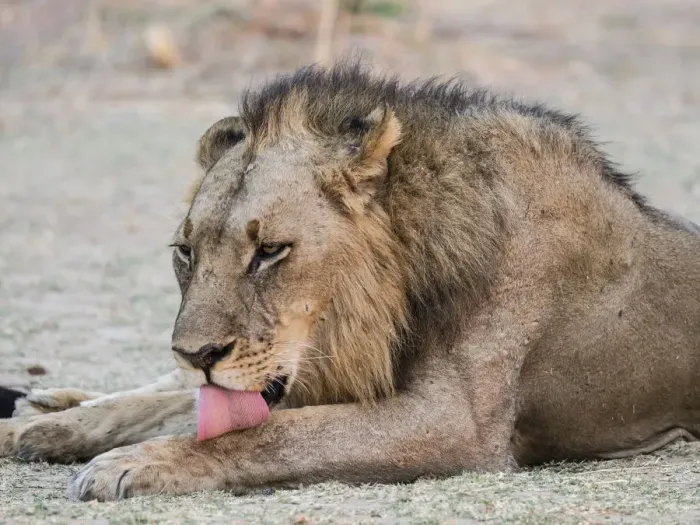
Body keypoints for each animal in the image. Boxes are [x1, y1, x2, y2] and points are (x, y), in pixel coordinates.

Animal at [1, 62, 699, 502]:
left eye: (270, 252)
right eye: (185, 252)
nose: (195, 353)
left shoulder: (455, 424)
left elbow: (270, 435)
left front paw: (134, 463)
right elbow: (186, 410)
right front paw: (46, 432)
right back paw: (39, 411)